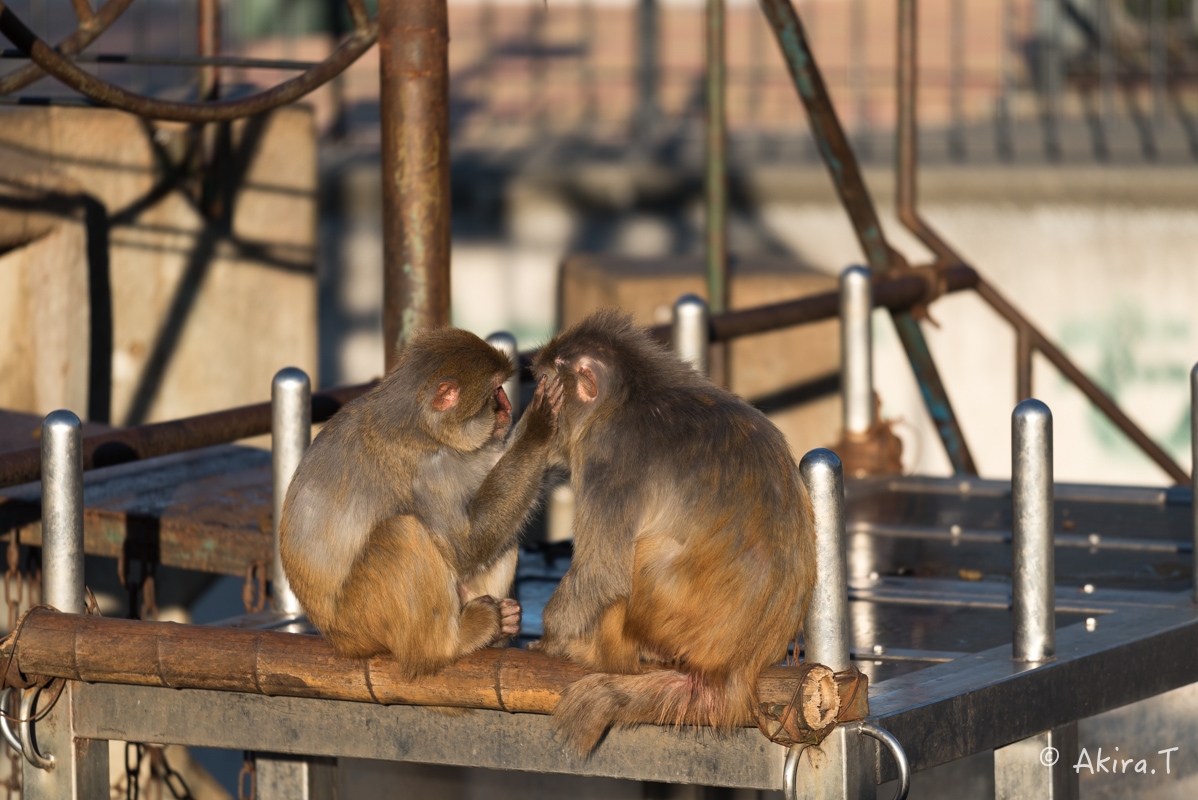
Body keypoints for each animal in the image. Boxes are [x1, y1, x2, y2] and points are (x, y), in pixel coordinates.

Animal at [280, 328, 560, 680]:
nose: (508, 407)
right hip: (363, 621)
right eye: (496, 390)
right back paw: (452, 643)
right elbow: (466, 547)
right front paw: (540, 428)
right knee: (403, 532)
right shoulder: (429, 469)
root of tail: (339, 642)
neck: (424, 426)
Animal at [531, 308, 814, 752]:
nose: (536, 408)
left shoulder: (610, 452)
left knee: (644, 558)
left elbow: (601, 574)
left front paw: (551, 640)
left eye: (545, 385)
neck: (628, 395)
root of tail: (740, 664)